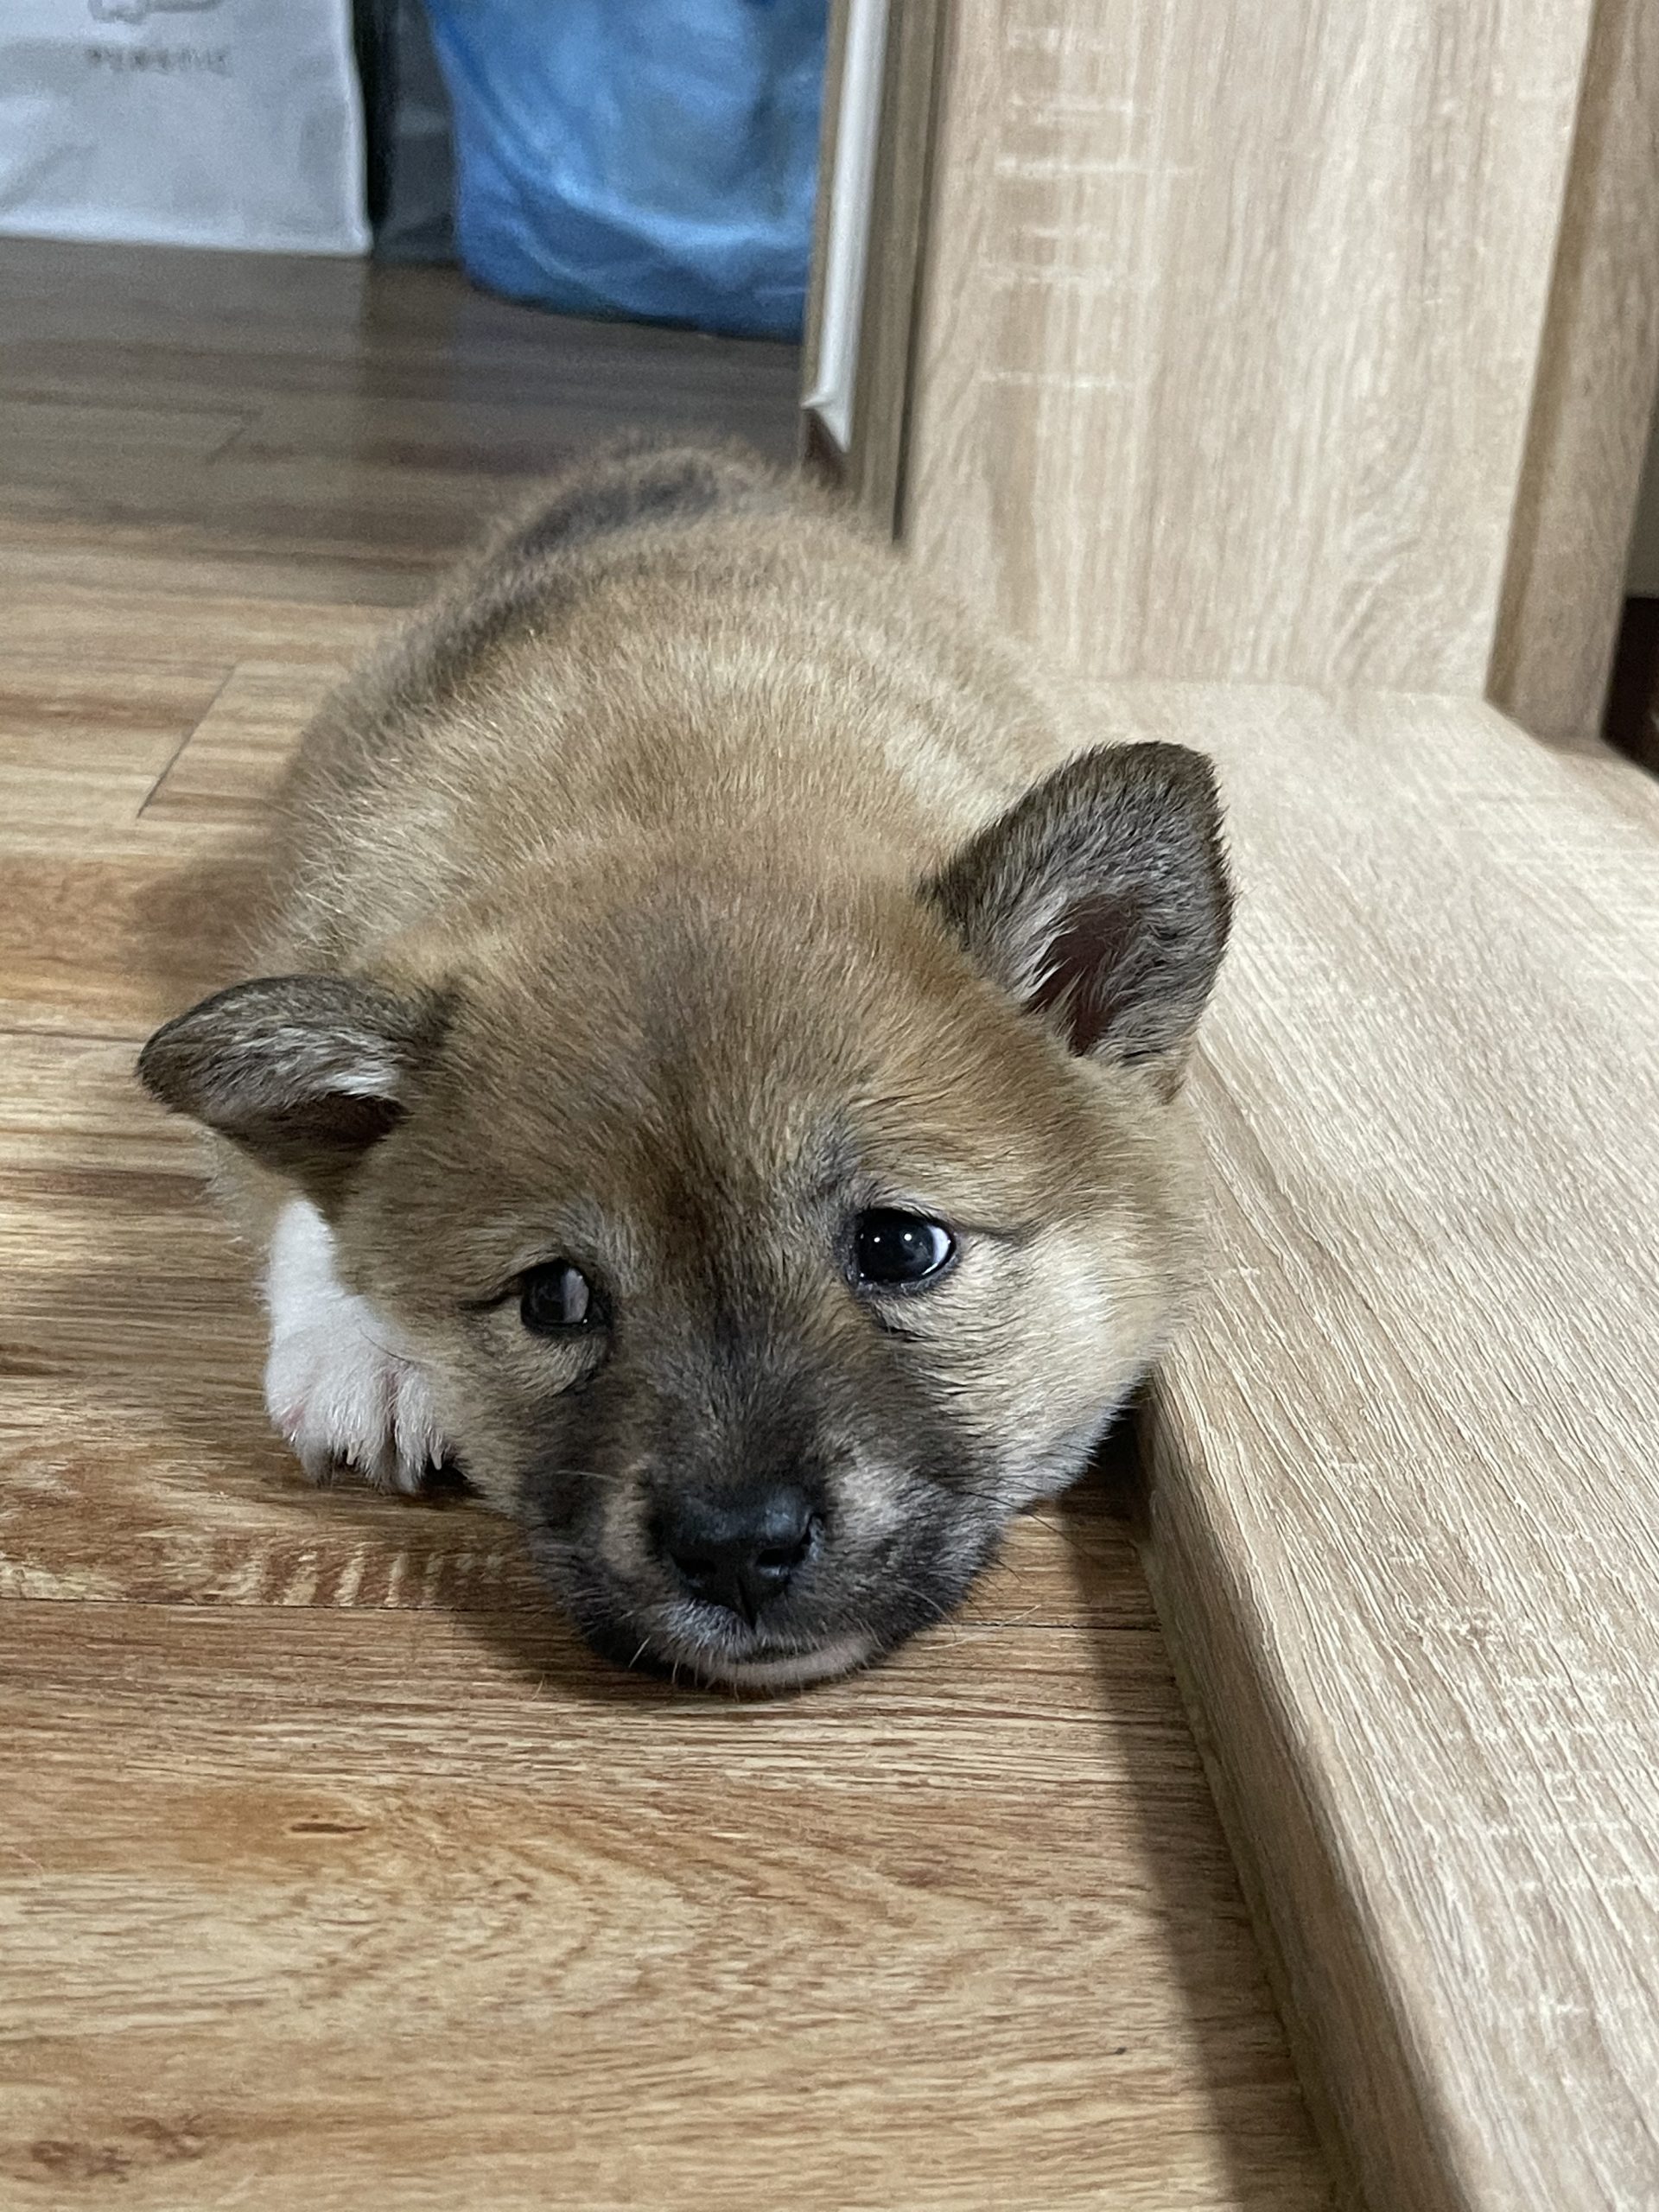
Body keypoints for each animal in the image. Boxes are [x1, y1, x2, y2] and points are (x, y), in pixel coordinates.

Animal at [138, 440, 1231, 1691]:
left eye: (900, 1247)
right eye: (556, 1297)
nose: (737, 1549)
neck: (687, 789)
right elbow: (304, 1204)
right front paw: (361, 1345)